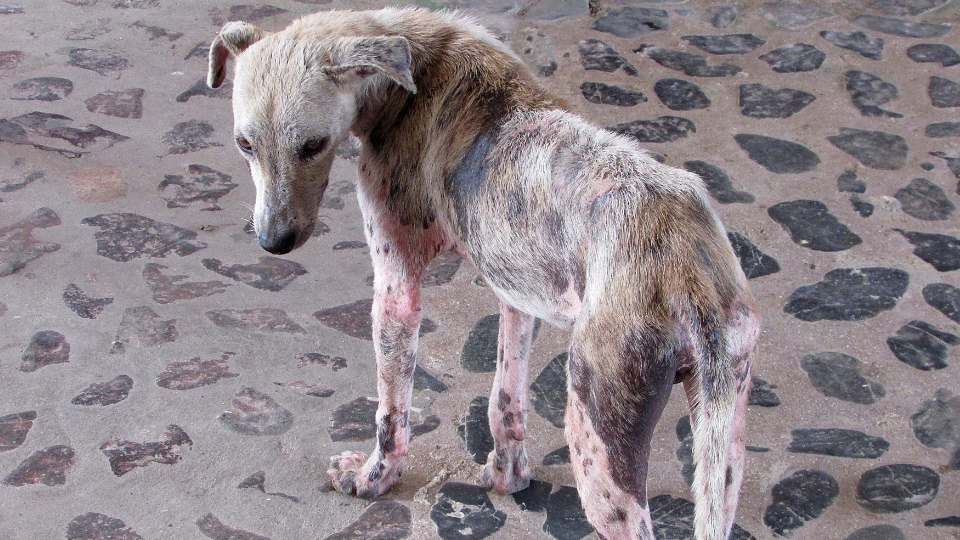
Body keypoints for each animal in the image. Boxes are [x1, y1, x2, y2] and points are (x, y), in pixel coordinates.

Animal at [208, 8, 756, 540]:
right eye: (244, 144)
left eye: (313, 144)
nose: (273, 242)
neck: (412, 64)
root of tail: (688, 277)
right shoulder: (516, 290)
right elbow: (505, 399)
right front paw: (506, 475)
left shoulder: (396, 292)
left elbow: (391, 412)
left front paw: (373, 477)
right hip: (723, 444)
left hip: (599, 441)